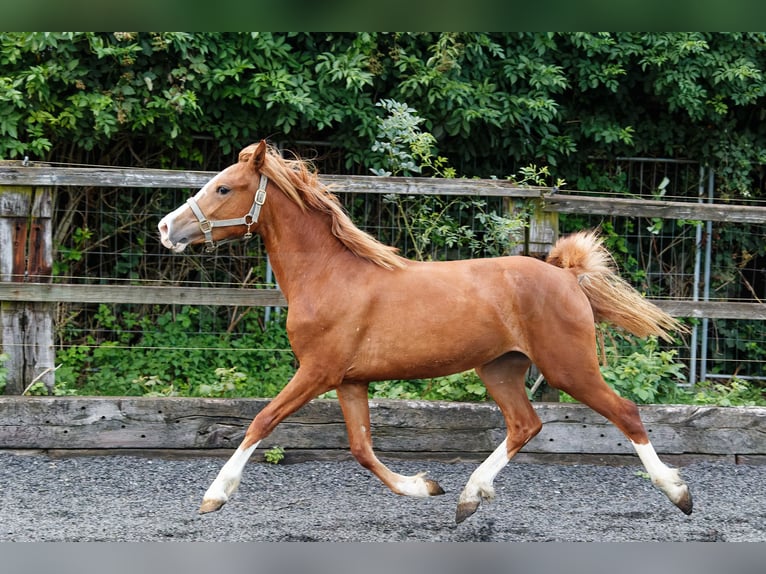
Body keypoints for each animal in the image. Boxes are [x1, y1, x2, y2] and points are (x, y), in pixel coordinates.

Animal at [159, 142, 692, 524]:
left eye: (224, 188)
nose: (167, 229)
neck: (329, 277)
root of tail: (566, 275)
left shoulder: (317, 371)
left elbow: (261, 421)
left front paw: (213, 496)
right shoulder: (349, 380)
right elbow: (361, 449)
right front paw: (424, 486)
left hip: (568, 367)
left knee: (625, 413)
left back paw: (679, 493)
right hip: (500, 368)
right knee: (525, 424)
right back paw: (468, 498)